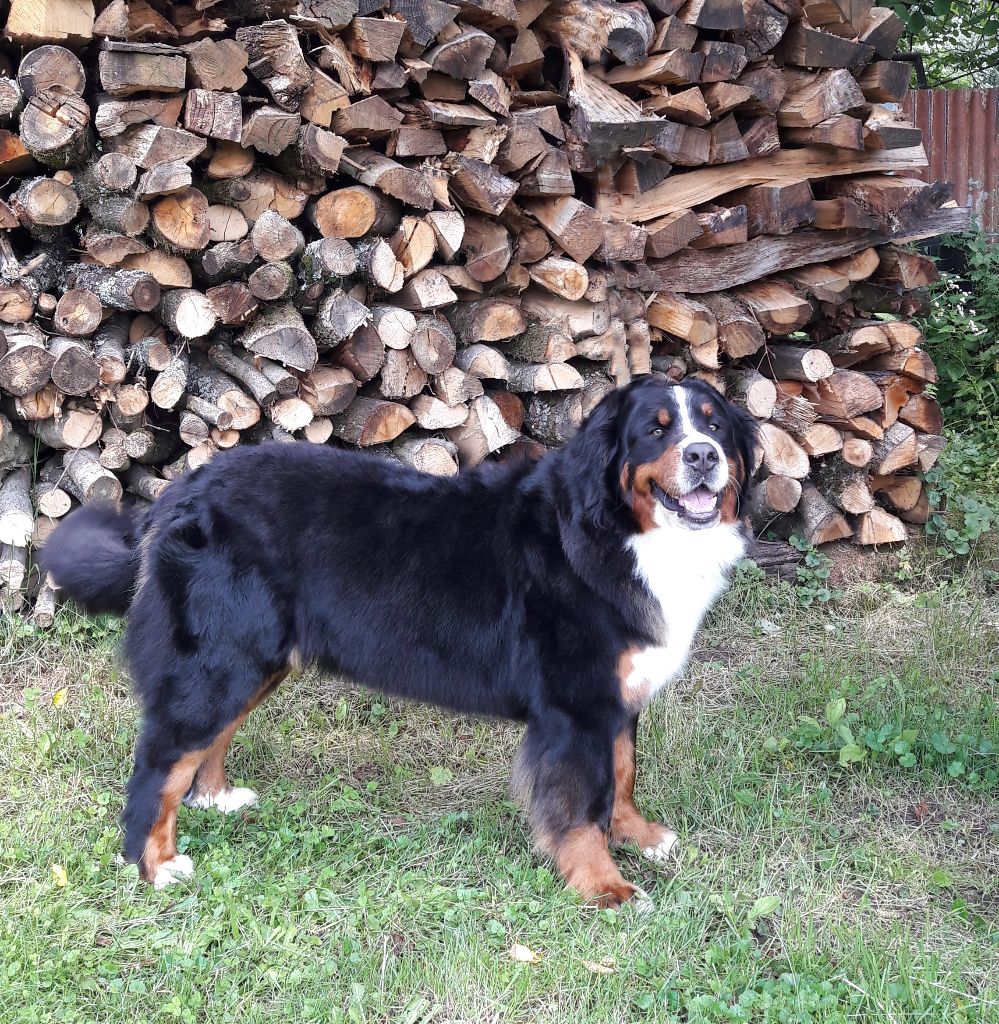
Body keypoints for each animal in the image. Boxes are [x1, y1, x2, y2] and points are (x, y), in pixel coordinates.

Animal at [40, 374, 757, 905]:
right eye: (653, 431)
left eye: (714, 424)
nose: (702, 456)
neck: (618, 532)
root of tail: (178, 492)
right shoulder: (576, 704)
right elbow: (581, 804)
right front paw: (604, 885)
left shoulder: (617, 694)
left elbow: (623, 773)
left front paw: (640, 834)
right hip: (220, 658)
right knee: (160, 762)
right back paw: (154, 864)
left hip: (255, 657)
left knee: (205, 741)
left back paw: (215, 797)